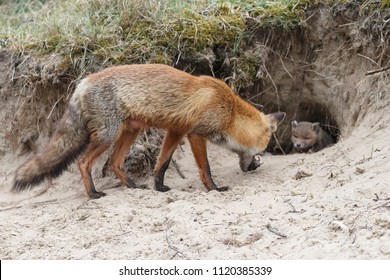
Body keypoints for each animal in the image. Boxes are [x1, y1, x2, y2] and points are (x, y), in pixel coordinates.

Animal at [13, 64, 284, 198]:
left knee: (115, 163)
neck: (229, 111)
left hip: (129, 133)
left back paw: (133, 187)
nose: (255, 166)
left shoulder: (175, 131)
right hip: (108, 136)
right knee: (83, 162)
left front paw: (159, 188)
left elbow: (162, 163)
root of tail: (82, 83)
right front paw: (214, 189)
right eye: (262, 151)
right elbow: (205, 168)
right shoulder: (195, 134)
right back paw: (93, 194)